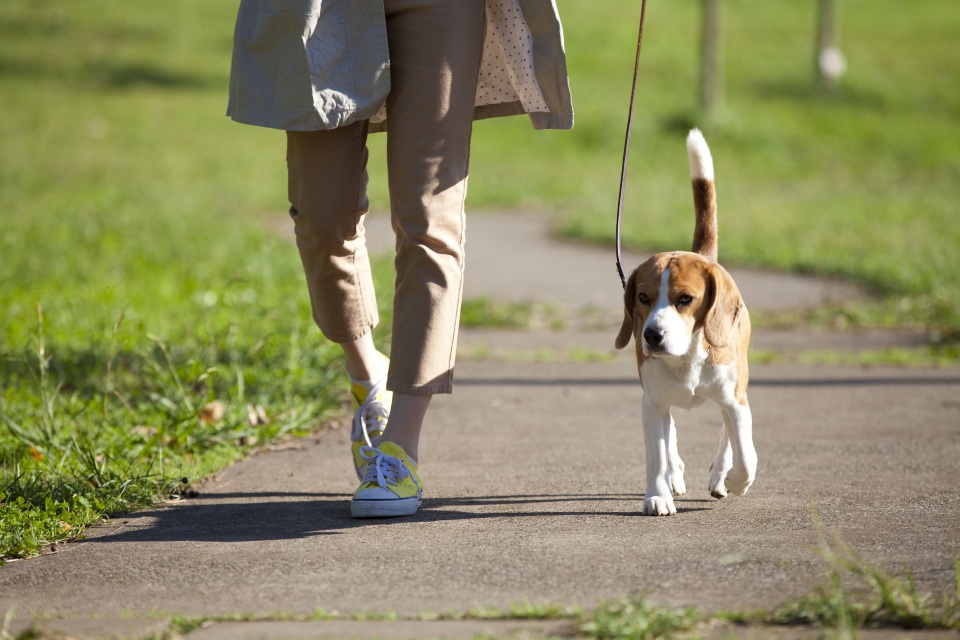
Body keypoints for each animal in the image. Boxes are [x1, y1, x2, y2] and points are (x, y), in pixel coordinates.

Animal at [616, 130, 756, 516]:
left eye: (684, 299)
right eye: (643, 297)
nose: (651, 335)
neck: (687, 357)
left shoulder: (736, 400)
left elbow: (745, 453)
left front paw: (734, 479)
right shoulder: (651, 403)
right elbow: (657, 454)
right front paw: (657, 494)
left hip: (737, 384)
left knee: (727, 433)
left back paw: (721, 474)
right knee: (671, 435)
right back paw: (676, 473)